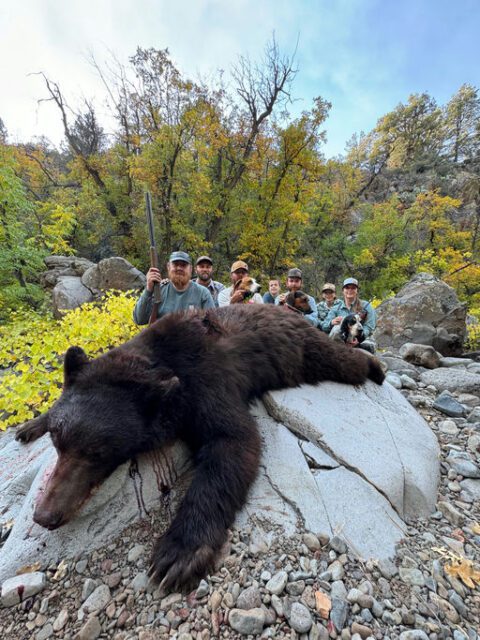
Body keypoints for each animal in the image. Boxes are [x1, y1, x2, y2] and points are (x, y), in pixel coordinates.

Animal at [16, 304, 385, 592]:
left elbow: (233, 441)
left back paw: (376, 368)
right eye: (59, 443)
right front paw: (31, 425)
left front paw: (179, 552)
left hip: (303, 350)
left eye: (97, 454)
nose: (45, 515)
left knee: (341, 361)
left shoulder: (205, 381)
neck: (158, 362)